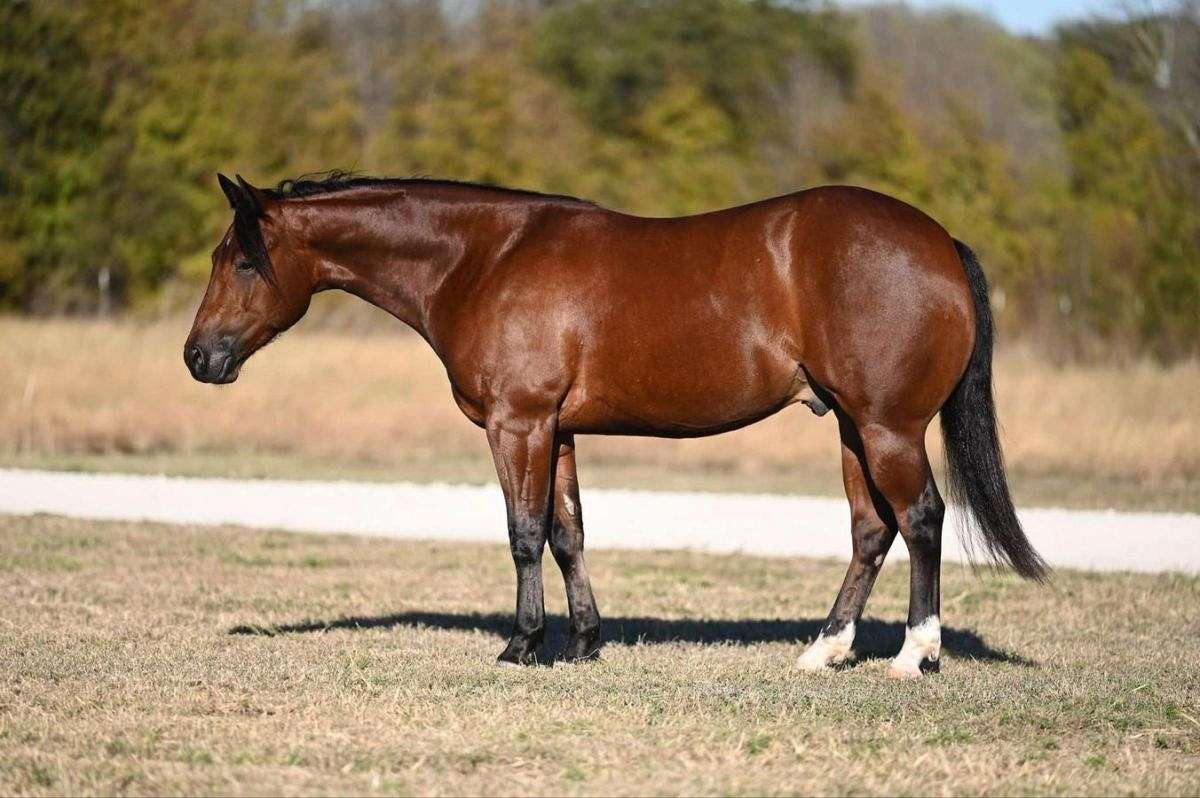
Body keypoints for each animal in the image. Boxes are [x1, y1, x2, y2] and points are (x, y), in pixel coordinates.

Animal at [182, 171, 1046, 676]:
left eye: (243, 261)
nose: (199, 357)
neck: (485, 258)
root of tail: (937, 242)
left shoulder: (518, 425)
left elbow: (524, 532)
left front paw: (523, 645)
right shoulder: (557, 430)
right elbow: (568, 533)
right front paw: (585, 642)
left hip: (887, 426)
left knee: (922, 518)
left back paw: (915, 655)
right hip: (851, 429)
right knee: (872, 530)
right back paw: (825, 652)